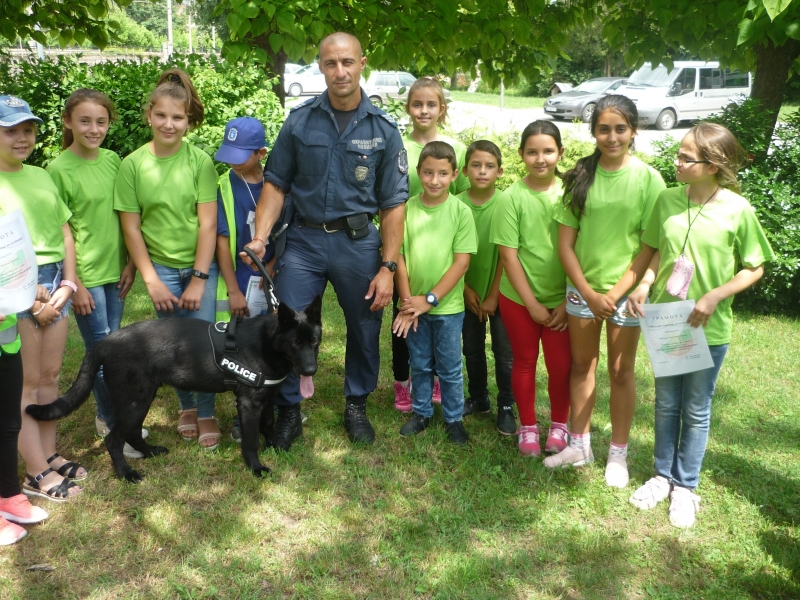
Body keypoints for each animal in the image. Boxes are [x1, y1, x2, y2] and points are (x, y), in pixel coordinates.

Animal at [27, 296, 322, 482]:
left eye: (315, 341)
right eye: (295, 343)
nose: (310, 371)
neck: (268, 342)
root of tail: (105, 342)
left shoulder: (267, 397)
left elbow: (268, 424)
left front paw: (276, 445)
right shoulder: (249, 403)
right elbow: (251, 440)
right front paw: (256, 467)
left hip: (142, 398)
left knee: (131, 432)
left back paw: (150, 452)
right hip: (135, 400)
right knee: (113, 439)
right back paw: (126, 474)